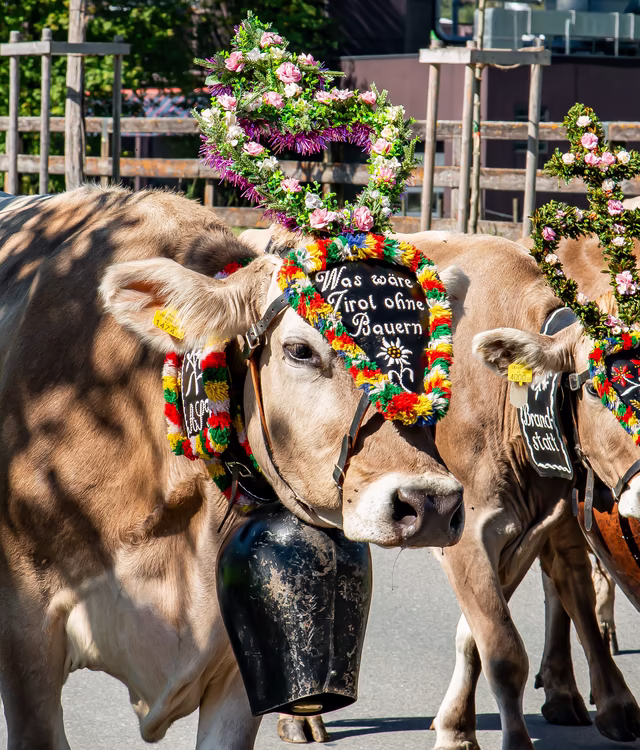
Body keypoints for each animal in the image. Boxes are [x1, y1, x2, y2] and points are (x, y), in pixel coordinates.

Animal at [242, 226, 640, 749]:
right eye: (594, 388)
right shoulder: (469, 531)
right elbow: (503, 651)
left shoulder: (526, 526)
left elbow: (474, 636)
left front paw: (454, 723)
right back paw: (299, 716)